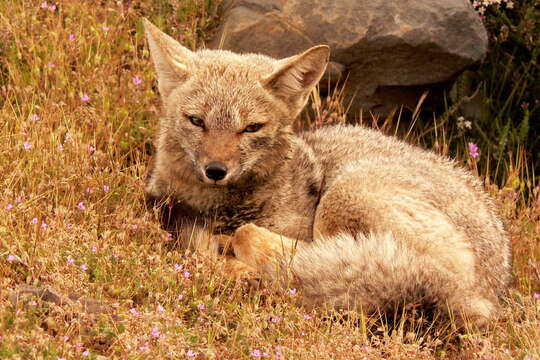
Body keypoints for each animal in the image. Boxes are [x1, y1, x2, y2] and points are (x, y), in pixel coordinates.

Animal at [142, 17, 510, 326]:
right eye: (196, 121)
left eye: (251, 128)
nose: (216, 170)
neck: (217, 207)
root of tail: (490, 293)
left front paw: (230, 260)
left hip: (343, 195)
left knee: (266, 244)